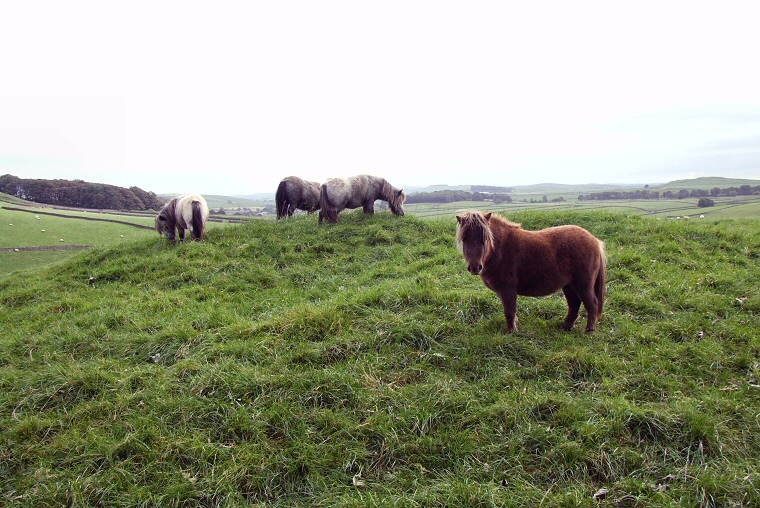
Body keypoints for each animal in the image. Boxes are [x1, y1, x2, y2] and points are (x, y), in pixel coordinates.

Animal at [454, 210, 608, 334]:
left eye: (484, 238)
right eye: (464, 239)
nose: (475, 267)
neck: (500, 249)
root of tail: (595, 241)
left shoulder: (508, 290)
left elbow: (509, 312)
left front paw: (511, 332)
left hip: (583, 285)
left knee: (592, 304)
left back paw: (589, 330)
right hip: (569, 285)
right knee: (574, 305)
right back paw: (566, 327)